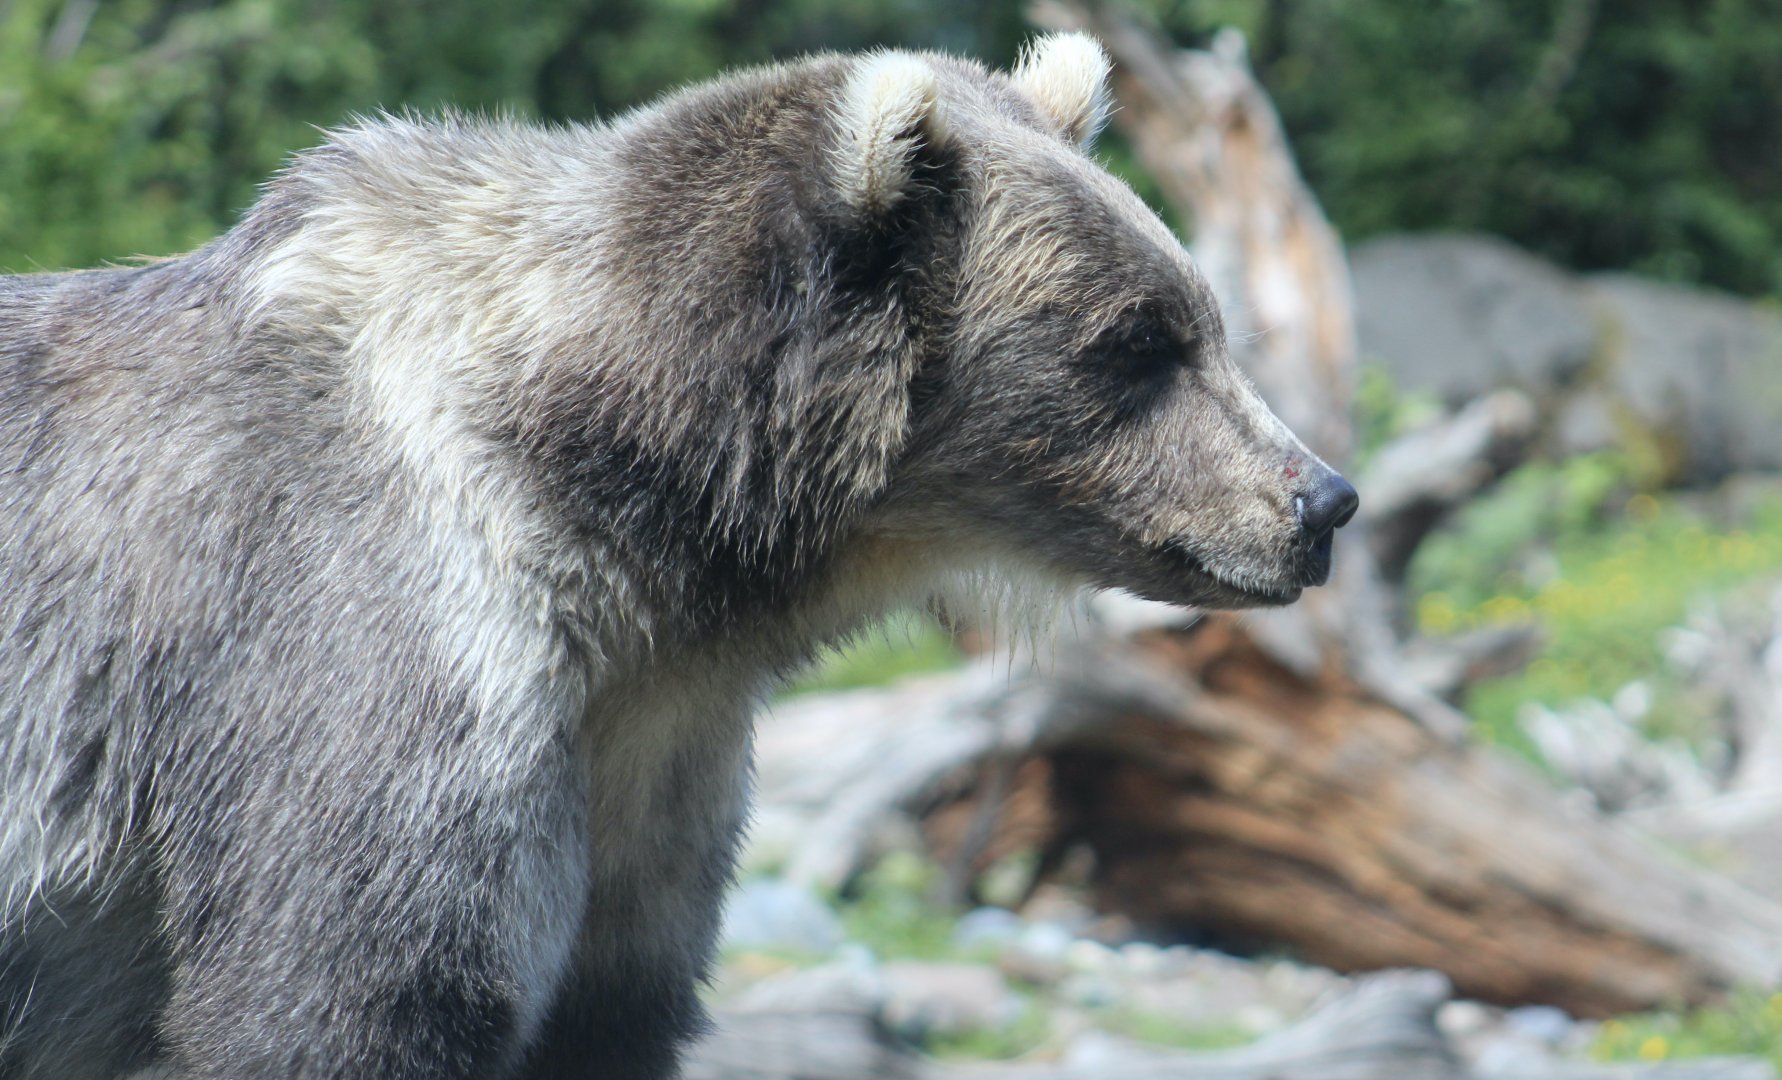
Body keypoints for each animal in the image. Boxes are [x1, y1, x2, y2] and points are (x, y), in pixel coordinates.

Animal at [0, 33, 1356, 1080]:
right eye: (1137, 340)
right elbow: (341, 989)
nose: (1322, 502)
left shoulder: (649, 765)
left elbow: (606, 1004)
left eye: (1205, 319)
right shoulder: (368, 654)